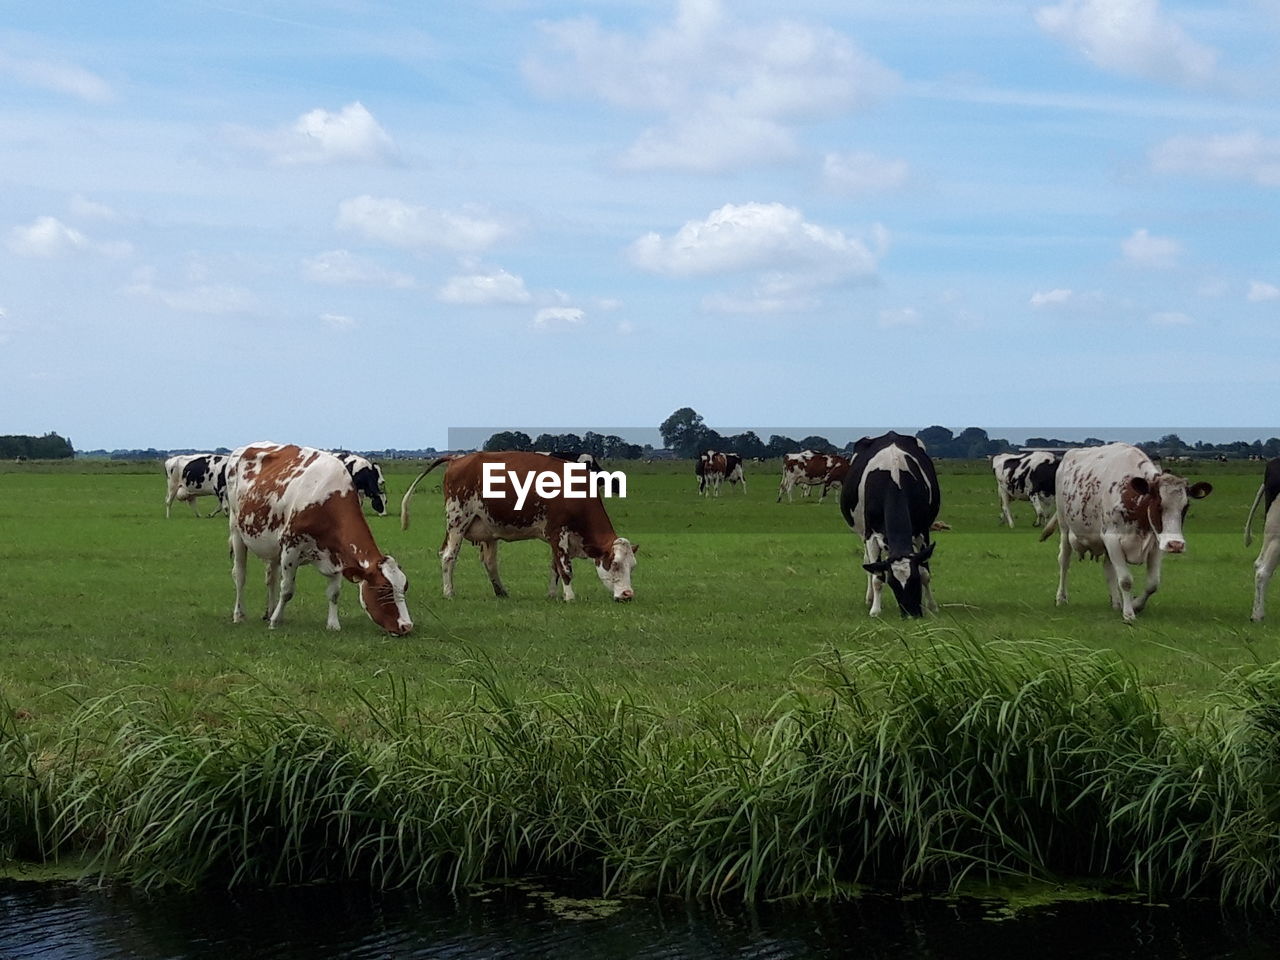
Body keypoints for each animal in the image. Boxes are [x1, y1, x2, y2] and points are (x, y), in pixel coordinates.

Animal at [225, 445, 412, 640]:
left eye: (404, 586)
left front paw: (333, 624)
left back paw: (270, 611)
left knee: (271, 578)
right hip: (237, 531)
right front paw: (275, 622)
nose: (407, 626)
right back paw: (240, 614)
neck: (326, 498)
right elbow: (287, 590)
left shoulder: (337, 555)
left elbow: (334, 593)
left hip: (273, 547)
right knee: (240, 575)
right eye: (383, 589)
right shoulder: (291, 548)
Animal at [401, 450, 637, 601]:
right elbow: (565, 569)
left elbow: (554, 567)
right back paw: (449, 592)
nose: (628, 595)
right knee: (449, 556)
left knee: (489, 562)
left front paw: (552, 595)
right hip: (458, 521)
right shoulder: (558, 533)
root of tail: (458, 458)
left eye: (632, 567)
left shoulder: (557, 539)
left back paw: (501, 591)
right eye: (615, 564)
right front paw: (570, 597)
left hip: (486, 530)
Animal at [839, 435, 942, 619]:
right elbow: (877, 577)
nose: (911, 614)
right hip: (863, 534)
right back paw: (870, 598)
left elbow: (925, 573)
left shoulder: (923, 531)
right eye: (892, 583)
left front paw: (931, 606)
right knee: (868, 564)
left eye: (914, 580)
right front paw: (875, 610)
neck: (894, 479)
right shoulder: (871, 536)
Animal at [1039, 442, 1208, 624]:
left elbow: (1152, 583)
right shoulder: (1112, 539)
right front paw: (1128, 614)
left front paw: (1135, 605)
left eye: (1185, 506)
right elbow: (1126, 580)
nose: (1176, 545)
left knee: (1108, 569)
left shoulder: (1156, 544)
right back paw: (1061, 597)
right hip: (1065, 527)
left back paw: (1116, 602)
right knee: (1064, 561)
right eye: (1158, 505)